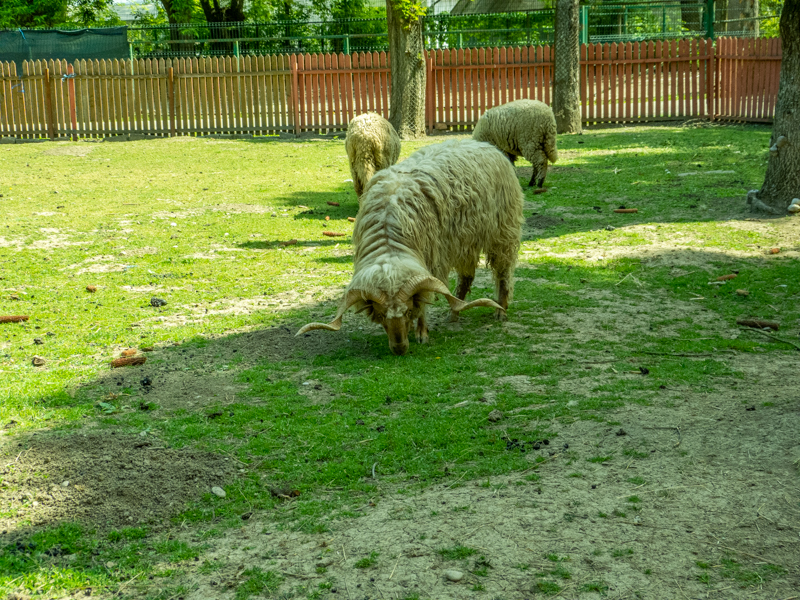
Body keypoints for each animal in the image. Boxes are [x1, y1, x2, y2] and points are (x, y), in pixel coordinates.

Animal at [297, 139, 523, 356]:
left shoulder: (432, 260)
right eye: (381, 315)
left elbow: (423, 301)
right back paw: (453, 314)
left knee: (503, 273)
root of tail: (485, 145)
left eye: (407, 311)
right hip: (465, 242)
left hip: (503, 232)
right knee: (466, 277)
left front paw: (422, 333)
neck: (389, 235)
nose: (400, 349)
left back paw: (501, 311)